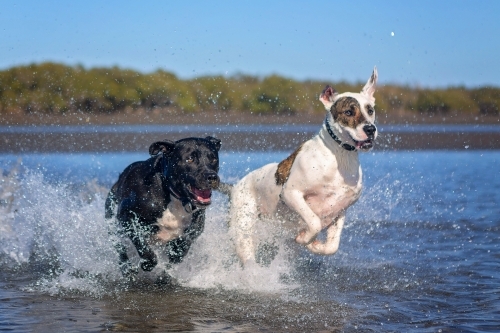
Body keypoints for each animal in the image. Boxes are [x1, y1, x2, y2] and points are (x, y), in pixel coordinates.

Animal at [105, 136, 221, 276]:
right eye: (190, 159)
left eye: (213, 159)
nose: (212, 177)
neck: (173, 195)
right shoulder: (126, 215)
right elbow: (140, 242)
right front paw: (147, 263)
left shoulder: (197, 225)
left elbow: (186, 241)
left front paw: (177, 252)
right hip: (112, 221)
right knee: (120, 247)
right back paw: (127, 268)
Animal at [228, 67, 378, 264]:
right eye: (348, 112)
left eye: (370, 110)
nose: (370, 129)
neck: (339, 156)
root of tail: (234, 187)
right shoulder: (291, 193)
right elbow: (314, 222)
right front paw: (304, 238)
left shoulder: (340, 210)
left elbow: (332, 246)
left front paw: (315, 246)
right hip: (243, 227)